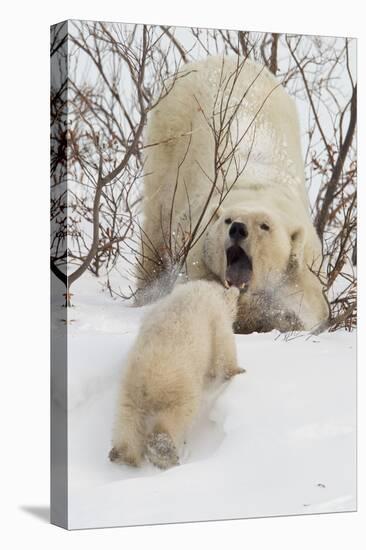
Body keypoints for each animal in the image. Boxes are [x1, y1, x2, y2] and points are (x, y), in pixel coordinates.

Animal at [140, 56, 328, 334]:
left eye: (265, 225)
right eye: (227, 219)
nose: (238, 229)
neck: (258, 193)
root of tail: (215, 59)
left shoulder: (303, 269)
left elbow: (309, 309)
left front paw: (274, 317)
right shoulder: (198, 255)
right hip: (168, 137)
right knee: (156, 225)